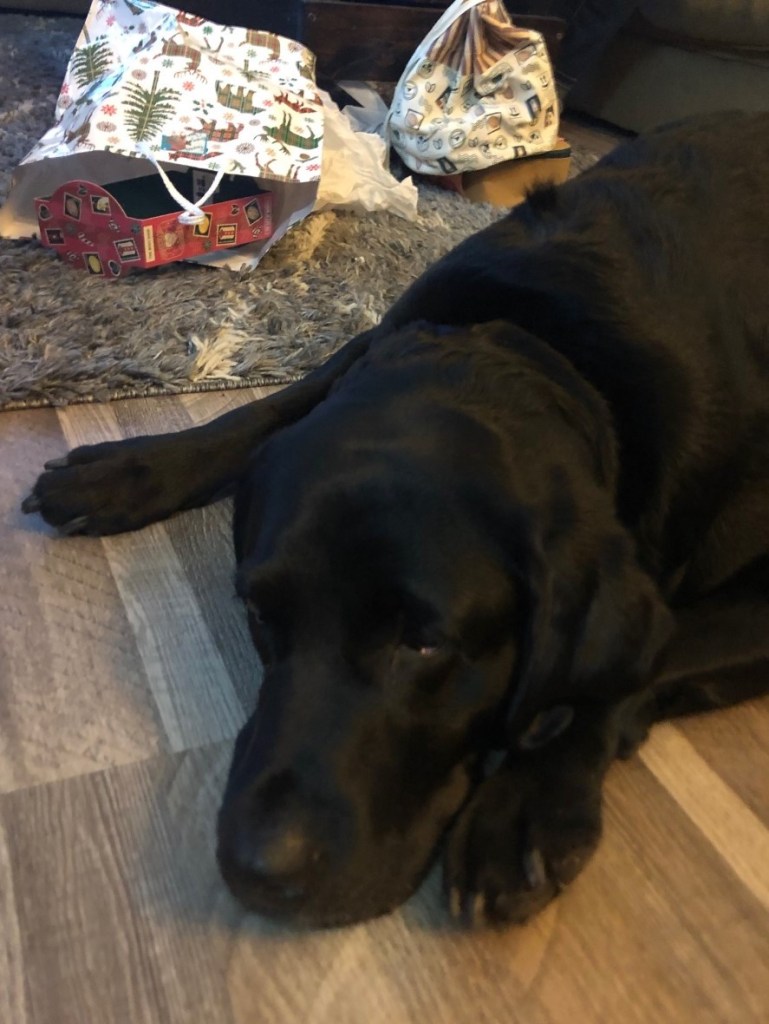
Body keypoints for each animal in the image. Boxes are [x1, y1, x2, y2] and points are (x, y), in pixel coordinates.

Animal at [22, 112, 769, 929]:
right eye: (259, 612)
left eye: (422, 644)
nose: (254, 870)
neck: (540, 345)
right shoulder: (370, 345)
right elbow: (266, 407)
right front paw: (122, 471)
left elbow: (649, 651)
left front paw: (528, 804)